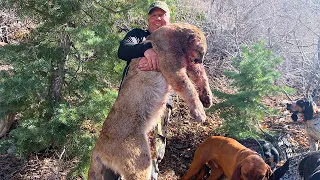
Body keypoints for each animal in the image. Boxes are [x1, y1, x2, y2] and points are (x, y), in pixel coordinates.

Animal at [88, 22, 212, 180]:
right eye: (202, 50)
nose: (200, 60)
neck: (177, 38)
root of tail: (97, 148)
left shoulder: (189, 65)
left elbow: (201, 77)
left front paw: (207, 99)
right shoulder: (172, 67)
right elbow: (188, 87)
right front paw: (199, 113)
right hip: (138, 158)